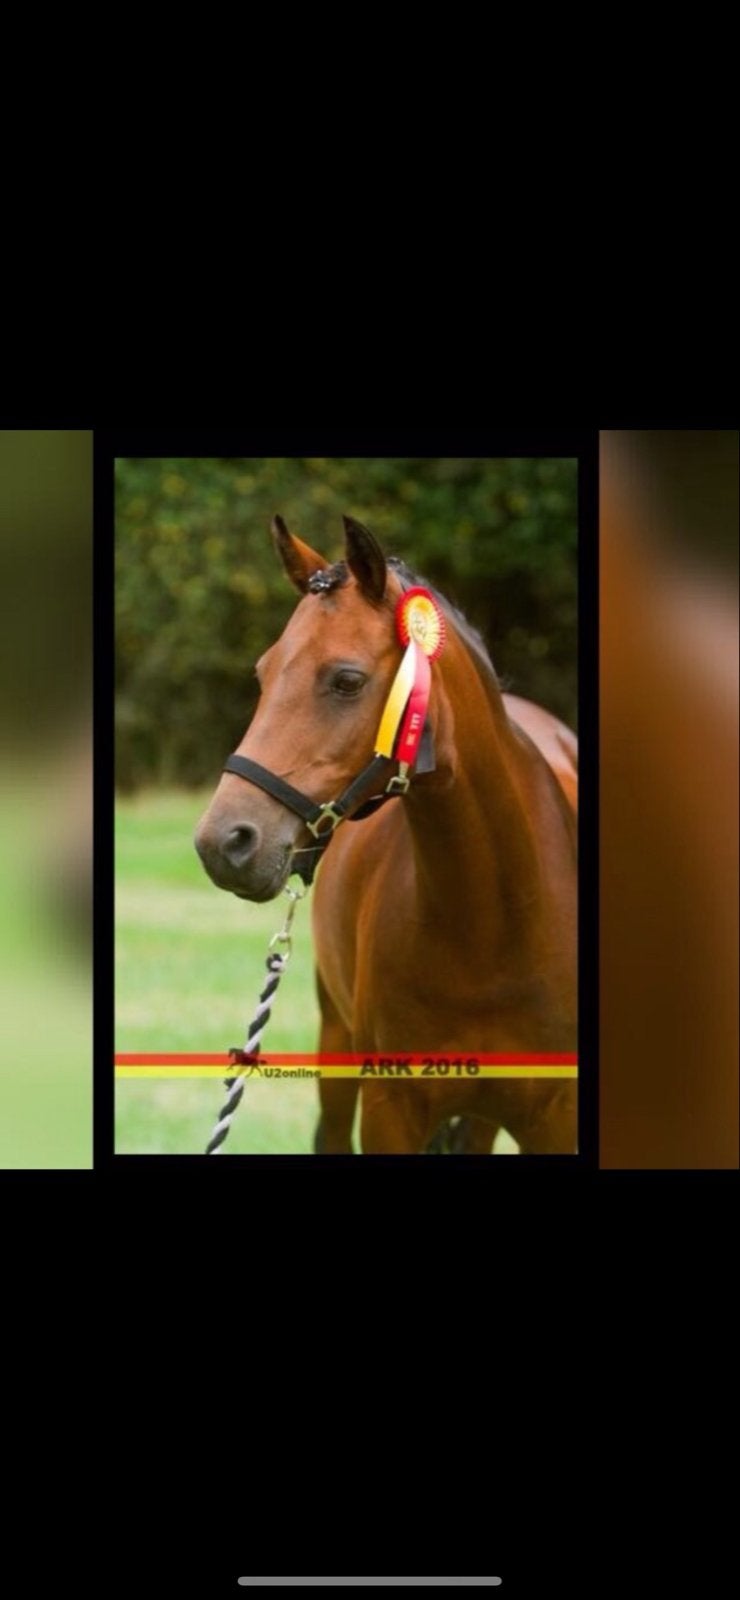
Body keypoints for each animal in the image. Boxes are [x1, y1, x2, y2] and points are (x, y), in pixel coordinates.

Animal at [195, 514, 578, 1154]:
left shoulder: (554, 1118)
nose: (224, 844)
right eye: (263, 674)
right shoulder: (388, 1108)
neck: (494, 926)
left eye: (347, 680)